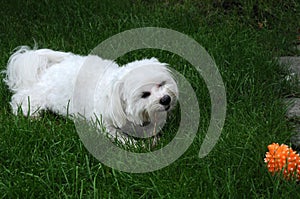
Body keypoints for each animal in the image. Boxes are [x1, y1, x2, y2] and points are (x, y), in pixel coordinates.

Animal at [3, 46, 178, 143]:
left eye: (161, 84)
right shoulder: (105, 125)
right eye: (144, 94)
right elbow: (124, 139)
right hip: (35, 98)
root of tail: (44, 70)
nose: (165, 99)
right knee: (20, 102)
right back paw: (33, 116)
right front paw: (140, 145)